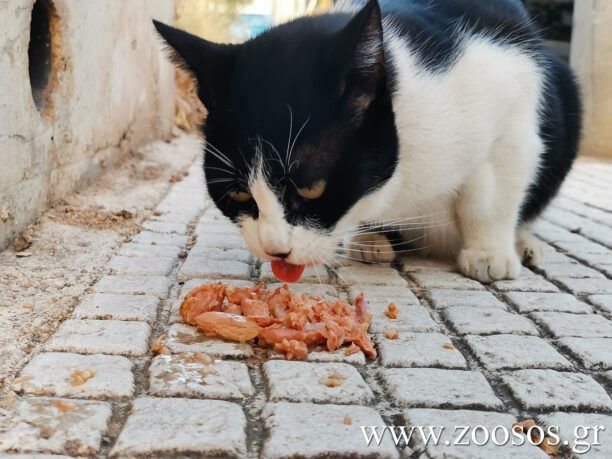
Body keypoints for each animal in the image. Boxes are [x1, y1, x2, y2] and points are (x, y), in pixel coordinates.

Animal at [153, 0, 580, 284]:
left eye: (312, 189)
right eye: (240, 195)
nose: (276, 250)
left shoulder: (512, 95)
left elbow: (493, 196)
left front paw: (489, 252)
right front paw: (370, 233)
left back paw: (523, 241)